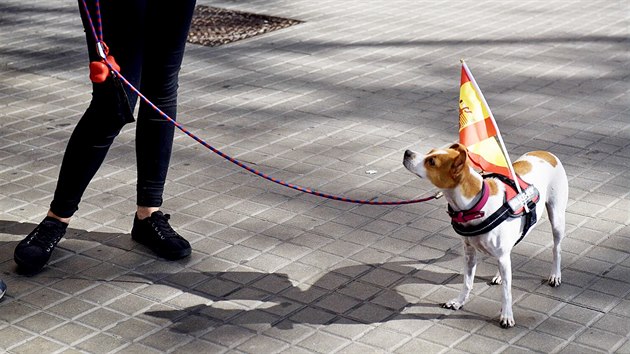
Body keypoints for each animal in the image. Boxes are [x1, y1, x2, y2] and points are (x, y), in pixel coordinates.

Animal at [404, 142, 572, 328]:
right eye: (430, 152)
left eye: (432, 161)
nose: (407, 152)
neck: (475, 207)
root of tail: (546, 153)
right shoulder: (469, 253)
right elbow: (467, 282)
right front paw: (459, 302)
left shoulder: (501, 257)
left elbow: (506, 292)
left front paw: (506, 315)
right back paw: (499, 276)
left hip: (557, 218)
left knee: (556, 248)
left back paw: (555, 275)